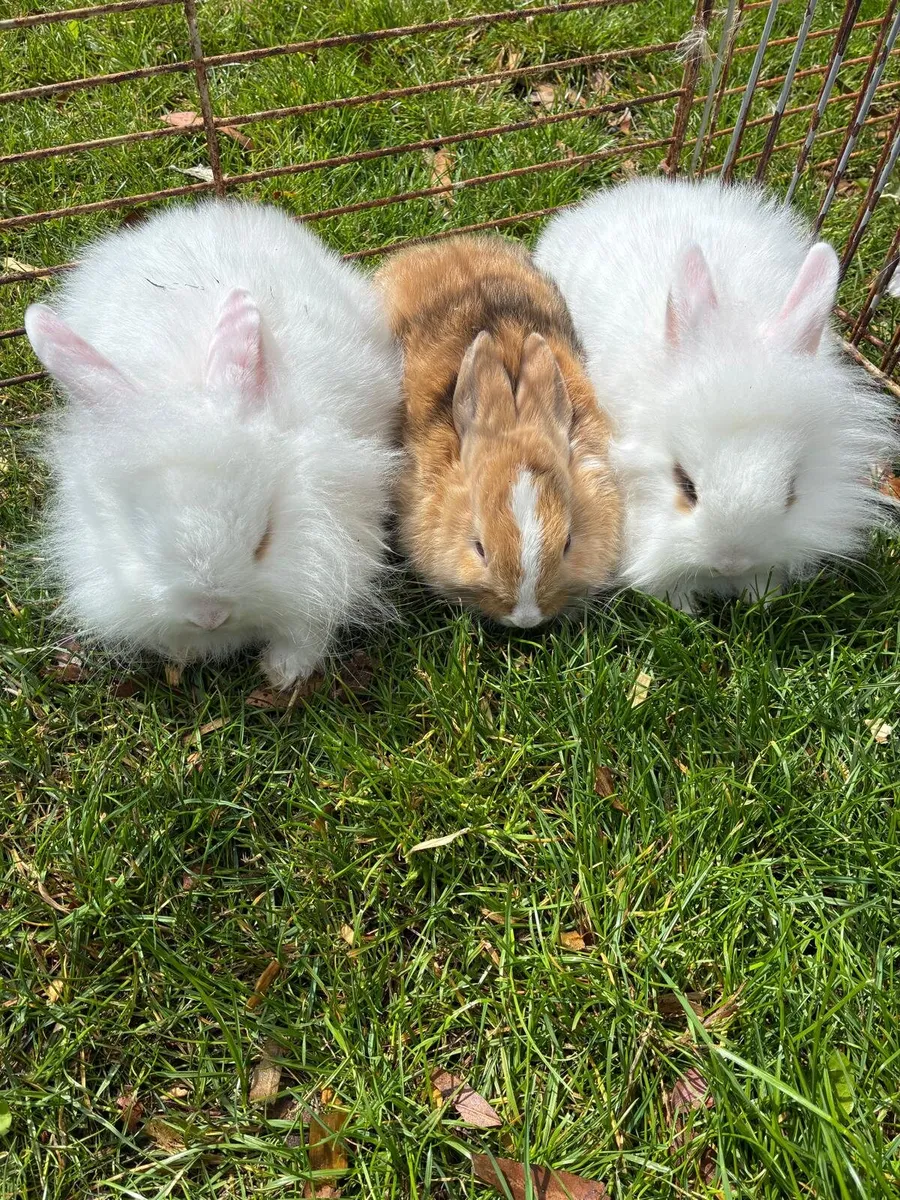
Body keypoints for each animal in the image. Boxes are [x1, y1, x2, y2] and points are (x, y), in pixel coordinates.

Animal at [24, 199, 402, 687]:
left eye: (264, 539)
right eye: (139, 538)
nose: (209, 615)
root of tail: (201, 211)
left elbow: (308, 627)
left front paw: (284, 673)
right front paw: (185, 651)